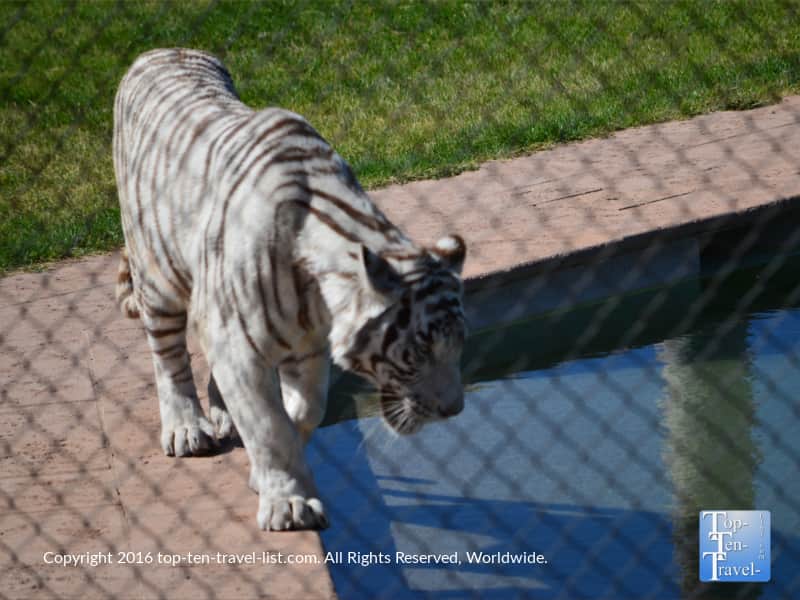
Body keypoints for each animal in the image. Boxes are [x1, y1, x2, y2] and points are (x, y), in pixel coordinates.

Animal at [112, 49, 467, 531]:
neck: (318, 297)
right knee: (168, 358)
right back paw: (187, 428)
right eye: (419, 351)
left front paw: (264, 477)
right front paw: (289, 503)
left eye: (458, 345)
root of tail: (158, 51)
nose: (454, 410)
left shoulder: (309, 349)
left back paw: (221, 416)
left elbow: (303, 412)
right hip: (158, 276)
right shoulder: (240, 347)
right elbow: (269, 426)